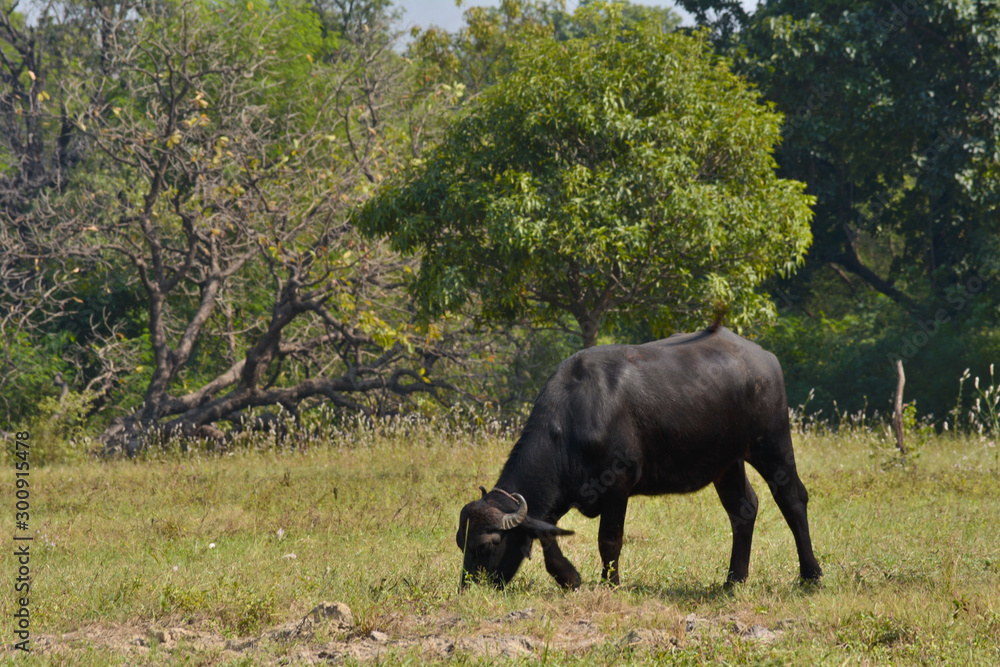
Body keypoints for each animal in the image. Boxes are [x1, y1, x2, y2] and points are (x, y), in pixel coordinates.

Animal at [458, 324, 824, 588]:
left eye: (487, 545)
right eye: (462, 543)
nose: (469, 587)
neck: (574, 420)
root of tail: (764, 358)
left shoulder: (617, 485)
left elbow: (609, 539)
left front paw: (611, 583)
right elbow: (546, 534)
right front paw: (569, 577)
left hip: (771, 442)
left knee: (792, 498)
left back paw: (810, 575)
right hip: (727, 462)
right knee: (743, 509)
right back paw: (734, 579)